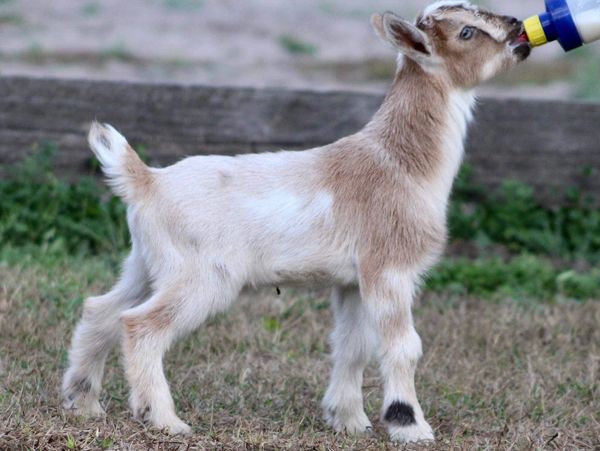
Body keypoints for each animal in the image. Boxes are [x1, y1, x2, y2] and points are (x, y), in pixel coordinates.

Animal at [61, 0, 528, 444]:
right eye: (466, 32)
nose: (517, 29)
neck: (399, 162)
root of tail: (146, 180)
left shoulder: (353, 281)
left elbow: (352, 345)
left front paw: (348, 421)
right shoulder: (389, 267)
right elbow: (401, 346)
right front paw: (409, 425)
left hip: (147, 262)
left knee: (103, 309)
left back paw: (83, 402)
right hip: (201, 274)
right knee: (139, 325)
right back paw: (164, 420)